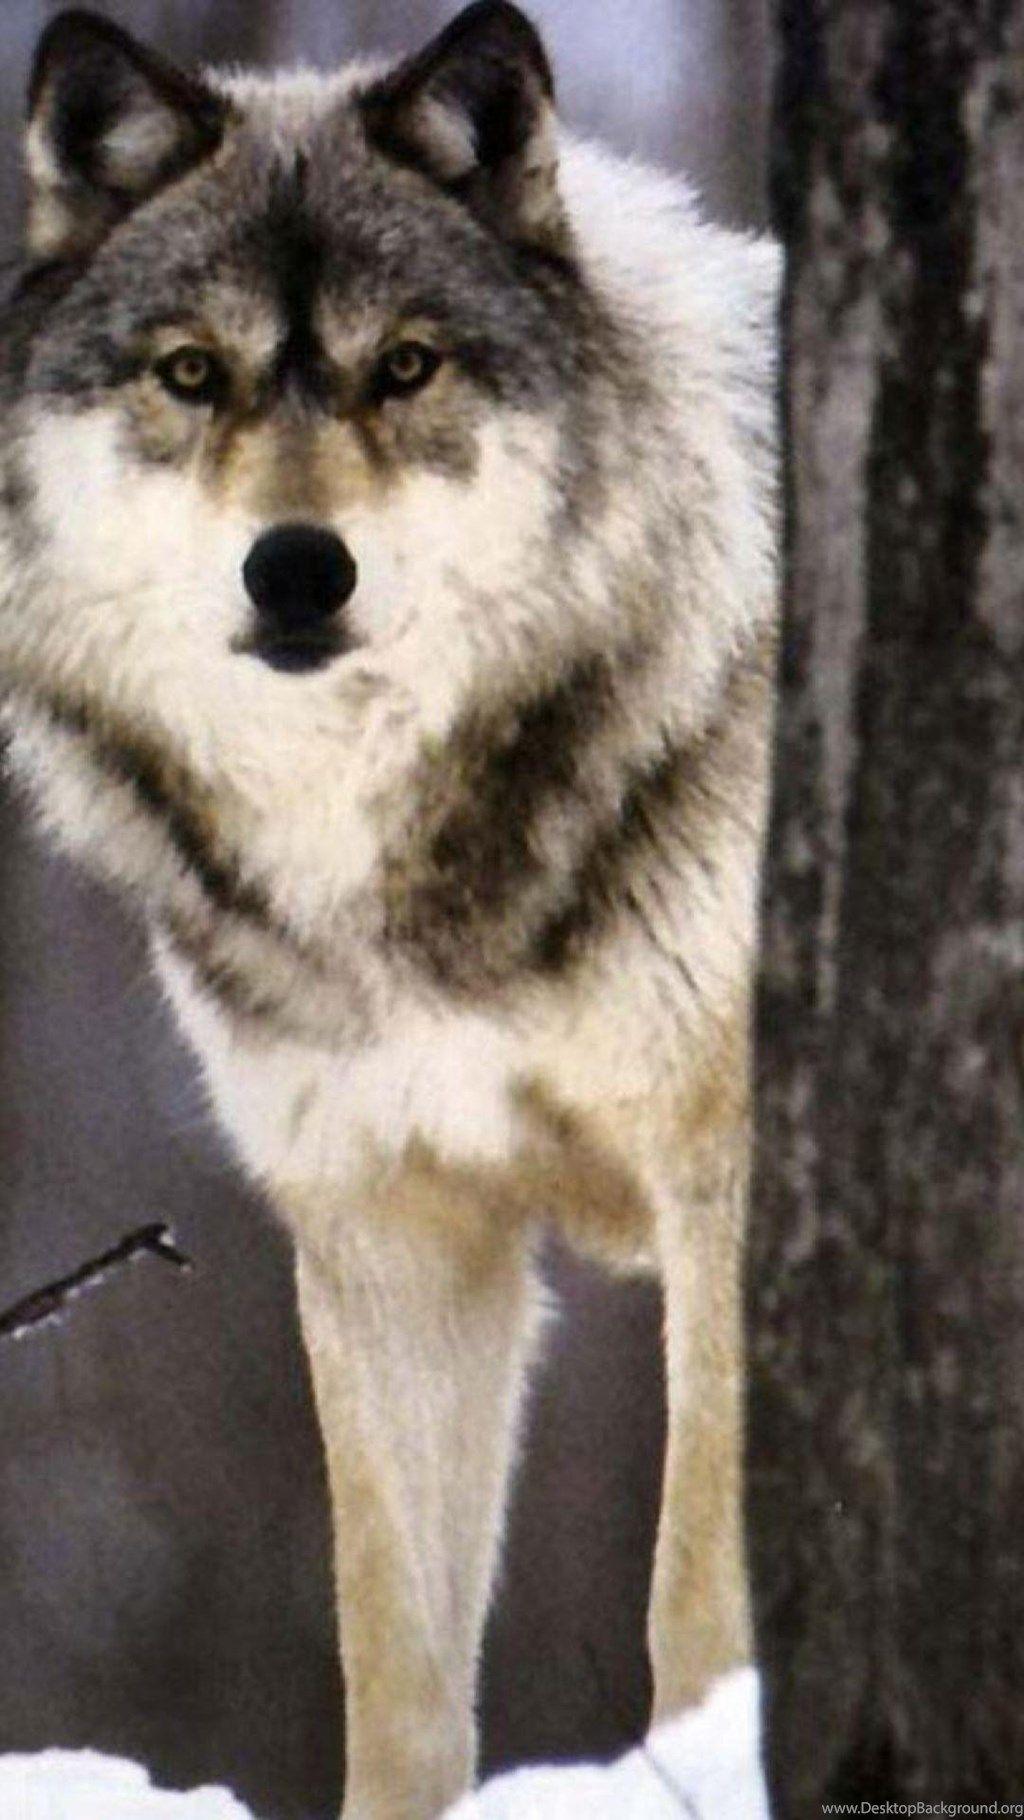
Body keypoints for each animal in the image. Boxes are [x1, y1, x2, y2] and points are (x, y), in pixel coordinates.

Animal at [0, 6, 776, 1816]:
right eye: (190, 373)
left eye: (405, 365)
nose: (298, 569)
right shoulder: (389, 1230)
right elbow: (398, 1668)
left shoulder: (723, 1179)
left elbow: (690, 1593)